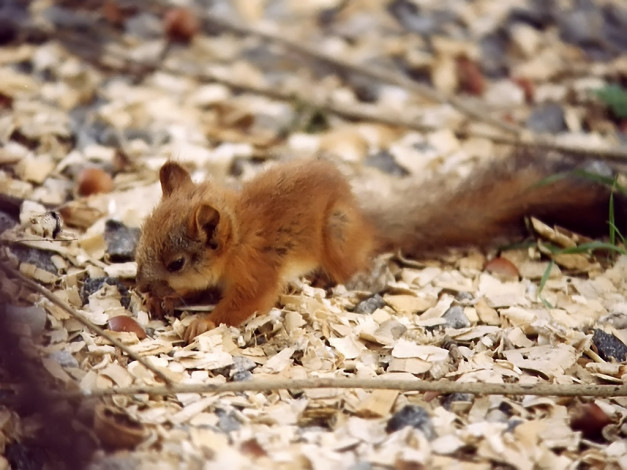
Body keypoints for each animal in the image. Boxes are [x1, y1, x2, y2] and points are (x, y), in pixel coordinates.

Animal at [136, 154, 624, 342]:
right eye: (139, 240)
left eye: (176, 261)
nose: (139, 286)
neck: (238, 242)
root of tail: (367, 223)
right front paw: (167, 300)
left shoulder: (258, 271)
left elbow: (246, 303)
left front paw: (202, 323)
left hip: (335, 236)